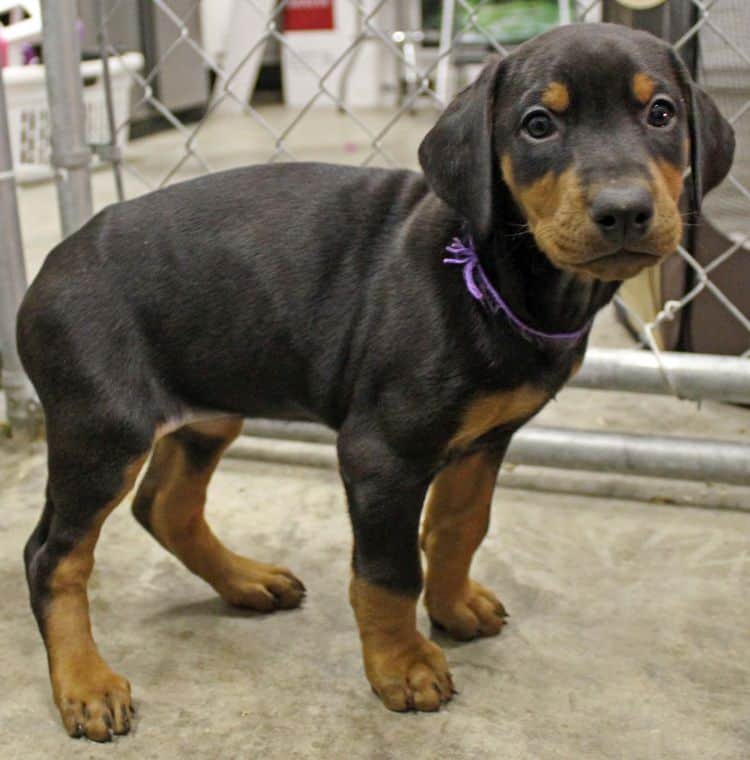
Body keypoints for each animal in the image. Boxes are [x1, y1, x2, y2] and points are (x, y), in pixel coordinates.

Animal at [17, 25, 736, 744]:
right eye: (538, 125)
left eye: (662, 114)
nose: (625, 211)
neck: (493, 273)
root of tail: (49, 268)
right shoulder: (383, 454)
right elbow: (388, 572)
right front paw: (404, 665)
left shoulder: (487, 437)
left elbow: (458, 526)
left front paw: (453, 604)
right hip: (104, 432)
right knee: (53, 555)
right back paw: (85, 683)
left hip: (209, 407)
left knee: (164, 506)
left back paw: (245, 581)